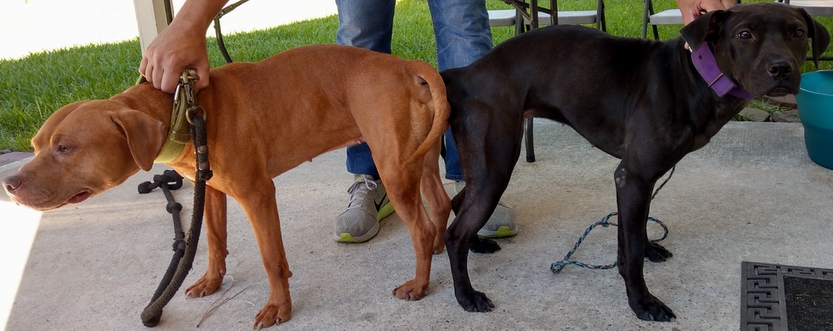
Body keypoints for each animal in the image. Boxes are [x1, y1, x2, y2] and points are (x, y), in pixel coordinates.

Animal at [3, 44, 452, 330]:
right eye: (36, 145)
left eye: (66, 148)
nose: (8, 183)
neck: (182, 112)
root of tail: (405, 65)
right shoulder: (213, 192)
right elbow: (215, 241)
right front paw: (211, 282)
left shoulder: (257, 195)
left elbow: (270, 258)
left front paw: (278, 307)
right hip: (420, 161)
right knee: (440, 205)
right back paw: (437, 249)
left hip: (394, 170)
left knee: (421, 226)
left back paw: (419, 284)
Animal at [442, 2, 824, 322]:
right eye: (745, 34)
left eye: (797, 32)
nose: (782, 69)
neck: (695, 77)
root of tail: (466, 72)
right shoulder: (634, 176)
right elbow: (633, 253)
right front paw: (642, 303)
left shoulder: (640, 180)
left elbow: (635, 234)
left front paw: (649, 249)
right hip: (496, 167)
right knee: (454, 232)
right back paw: (466, 295)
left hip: (485, 170)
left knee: (459, 204)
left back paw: (477, 244)